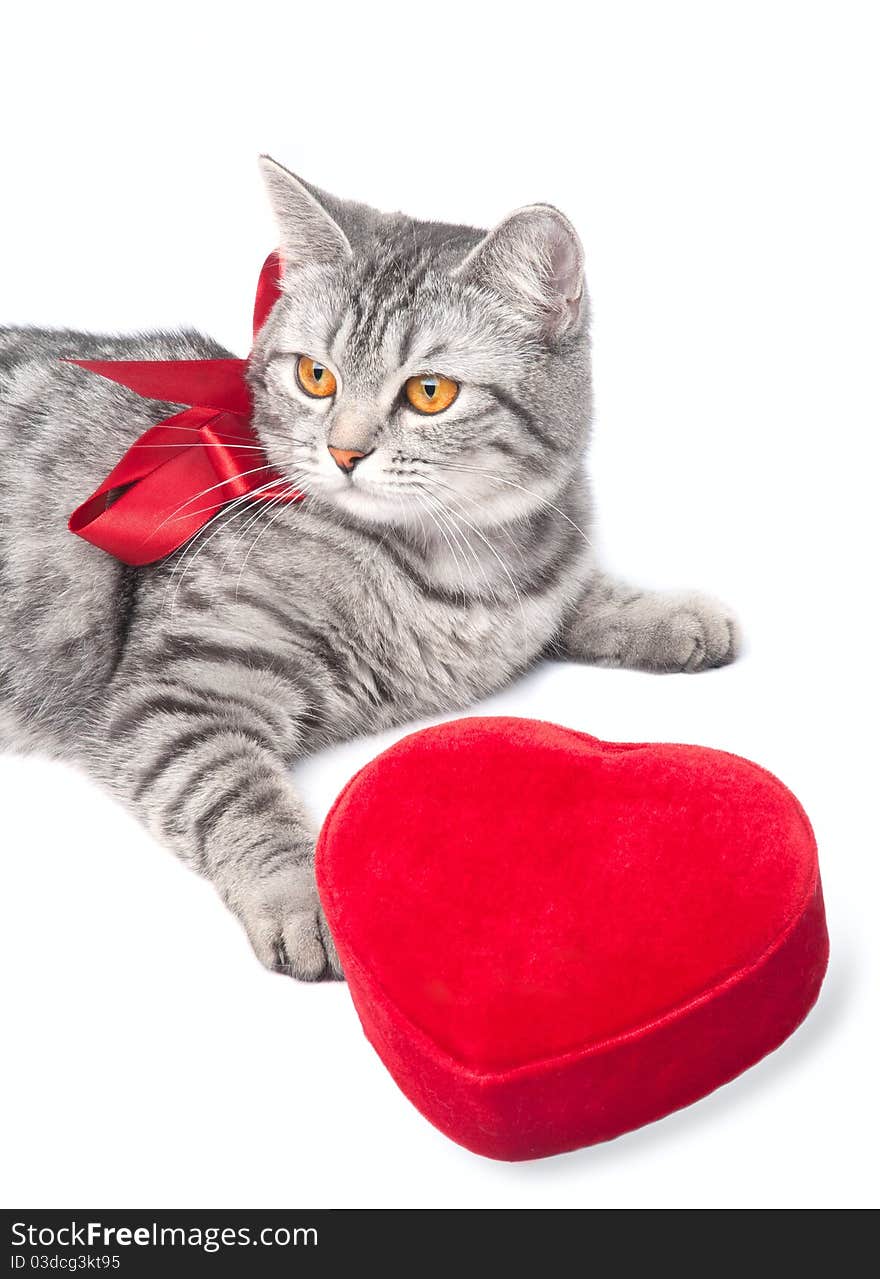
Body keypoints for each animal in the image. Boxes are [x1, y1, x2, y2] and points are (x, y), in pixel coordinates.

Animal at [0, 159, 736, 977]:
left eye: (429, 392)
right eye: (316, 376)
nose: (345, 451)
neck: (453, 571)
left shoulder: (544, 577)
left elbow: (581, 594)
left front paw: (667, 613)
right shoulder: (180, 691)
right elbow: (239, 795)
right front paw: (306, 895)